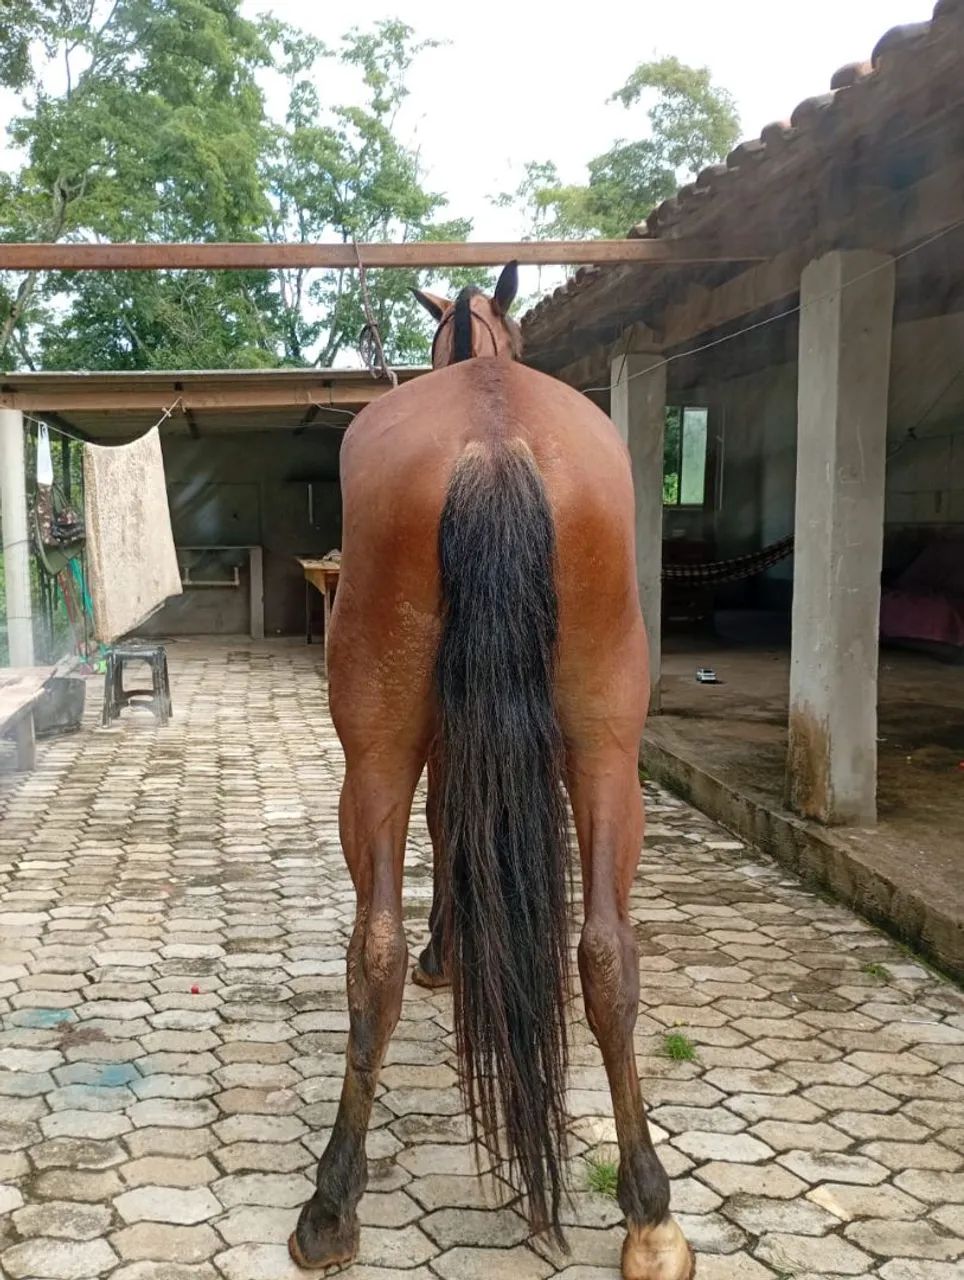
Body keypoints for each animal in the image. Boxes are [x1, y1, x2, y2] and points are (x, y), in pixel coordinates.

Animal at [289, 264, 694, 1280]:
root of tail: (494, 434)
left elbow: (444, 834)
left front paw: (450, 950)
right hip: (601, 746)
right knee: (602, 954)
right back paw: (650, 1215)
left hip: (392, 747)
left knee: (384, 951)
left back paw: (333, 1199)